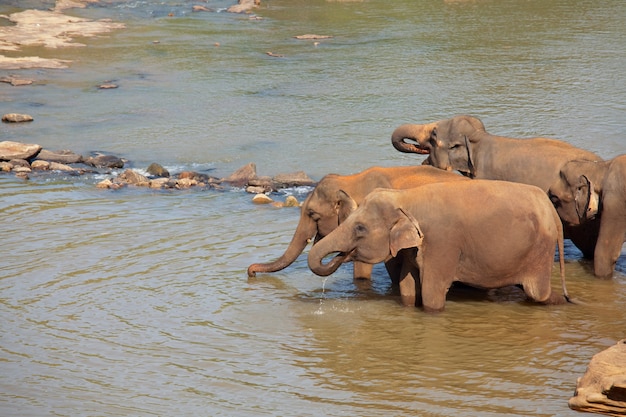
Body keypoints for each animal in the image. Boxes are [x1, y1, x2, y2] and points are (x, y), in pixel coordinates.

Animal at [304, 180, 568, 312]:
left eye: (360, 228)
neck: (406, 196)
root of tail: (551, 210)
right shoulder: (414, 248)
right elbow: (408, 287)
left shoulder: (442, 243)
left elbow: (432, 294)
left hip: (541, 249)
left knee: (537, 293)